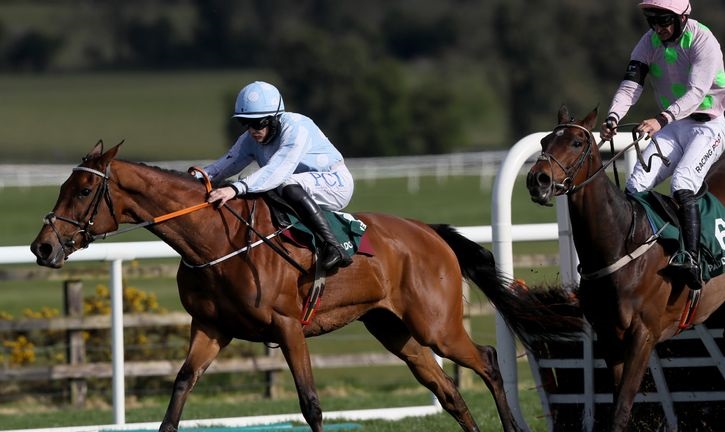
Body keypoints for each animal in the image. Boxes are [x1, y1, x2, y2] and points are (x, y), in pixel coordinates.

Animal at [29, 143, 584, 432]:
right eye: (63, 186)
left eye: (83, 189)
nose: (42, 247)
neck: (215, 239)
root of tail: (429, 232)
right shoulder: (210, 328)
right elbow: (180, 389)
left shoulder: (287, 326)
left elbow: (311, 403)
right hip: (395, 330)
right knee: (447, 390)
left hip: (436, 325)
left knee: (486, 361)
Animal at [524, 105, 724, 432]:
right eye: (543, 142)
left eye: (577, 142)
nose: (537, 179)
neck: (621, 242)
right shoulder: (609, 336)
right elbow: (619, 404)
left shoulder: (643, 334)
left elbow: (621, 410)